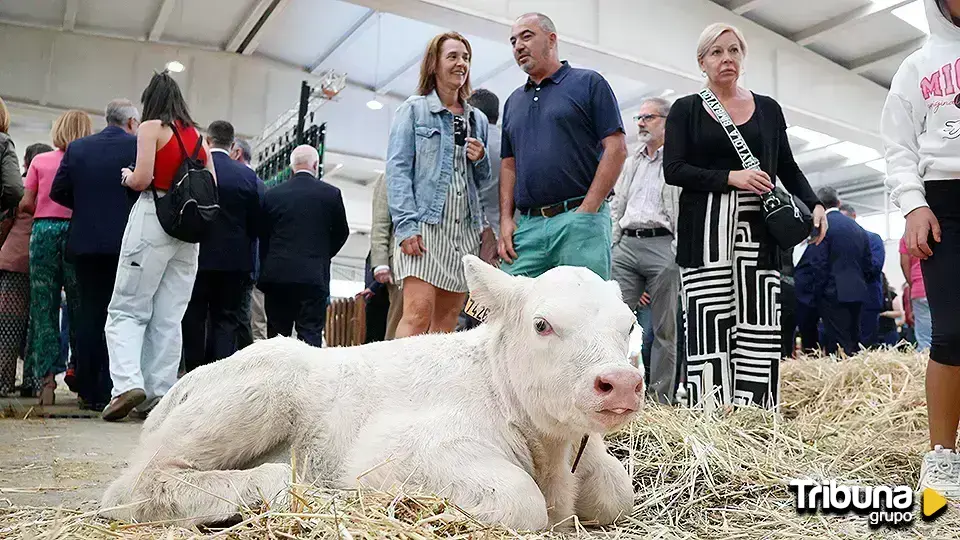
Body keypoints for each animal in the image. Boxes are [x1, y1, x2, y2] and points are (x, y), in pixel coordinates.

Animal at [99, 255, 644, 528]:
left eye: (631, 325)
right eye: (542, 324)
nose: (621, 381)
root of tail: (181, 387)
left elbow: (618, 493)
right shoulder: (403, 449)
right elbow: (518, 500)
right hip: (256, 391)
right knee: (134, 486)